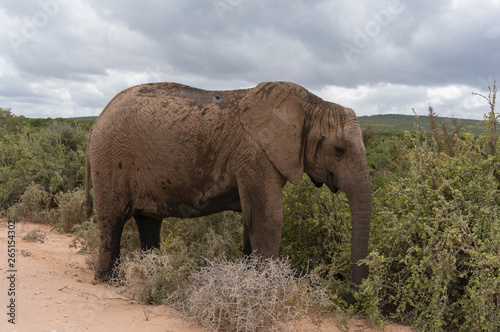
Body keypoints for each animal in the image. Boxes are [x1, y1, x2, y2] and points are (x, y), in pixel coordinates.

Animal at [84, 81, 372, 286]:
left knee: (149, 222)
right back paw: (112, 281)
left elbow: (252, 219)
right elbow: (269, 218)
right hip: (110, 156)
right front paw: (266, 290)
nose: (350, 295)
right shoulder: (255, 154)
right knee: (113, 220)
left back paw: (152, 276)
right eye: (339, 150)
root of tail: (95, 122)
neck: (312, 104)